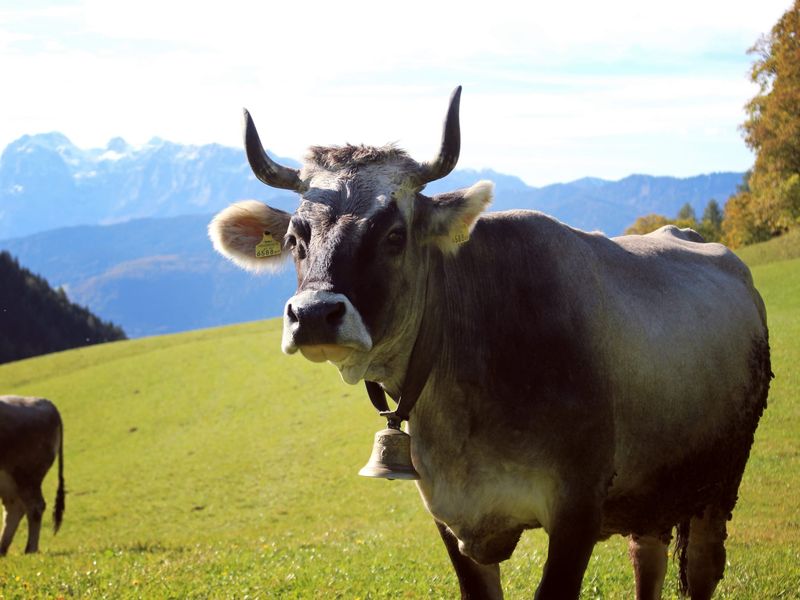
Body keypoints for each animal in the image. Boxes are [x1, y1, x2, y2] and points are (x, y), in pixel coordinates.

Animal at [0, 396, 65, 556]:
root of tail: (44, 401)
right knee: (14, 508)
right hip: (10, 480)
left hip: (26, 475)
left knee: (34, 506)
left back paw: (30, 549)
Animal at [209, 85, 772, 600]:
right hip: (651, 489)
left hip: (721, 477)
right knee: (647, 556)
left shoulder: (578, 507)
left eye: (394, 235)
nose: (313, 315)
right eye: (294, 239)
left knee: (703, 565)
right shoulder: (451, 513)